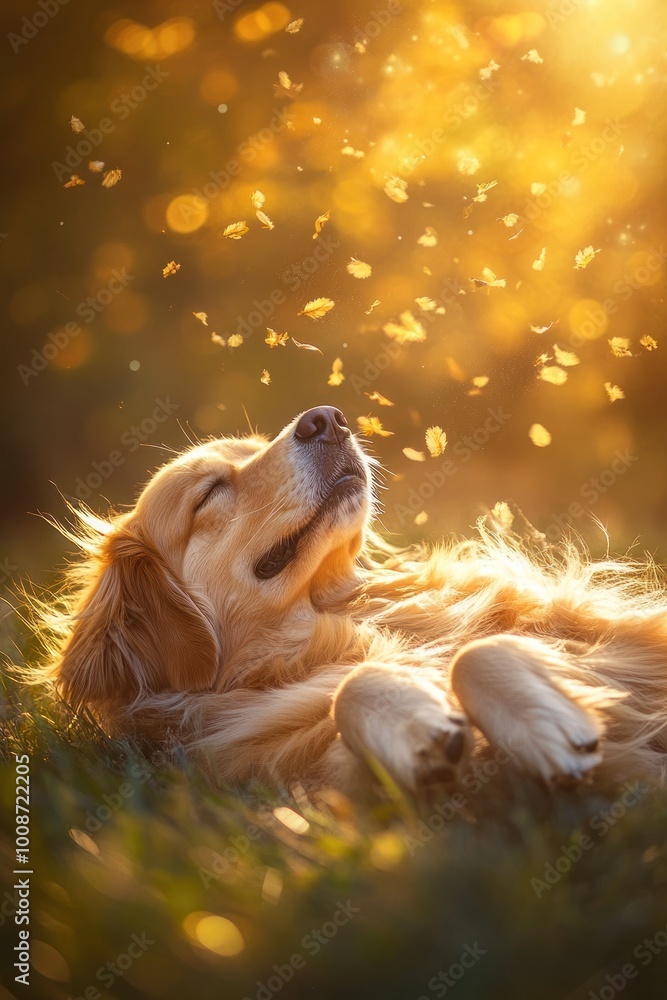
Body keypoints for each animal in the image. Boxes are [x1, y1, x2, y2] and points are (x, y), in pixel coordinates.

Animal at [27, 406, 667, 796]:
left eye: (258, 448)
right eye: (210, 492)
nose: (325, 419)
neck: (336, 618)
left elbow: (478, 648)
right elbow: (370, 685)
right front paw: (424, 729)